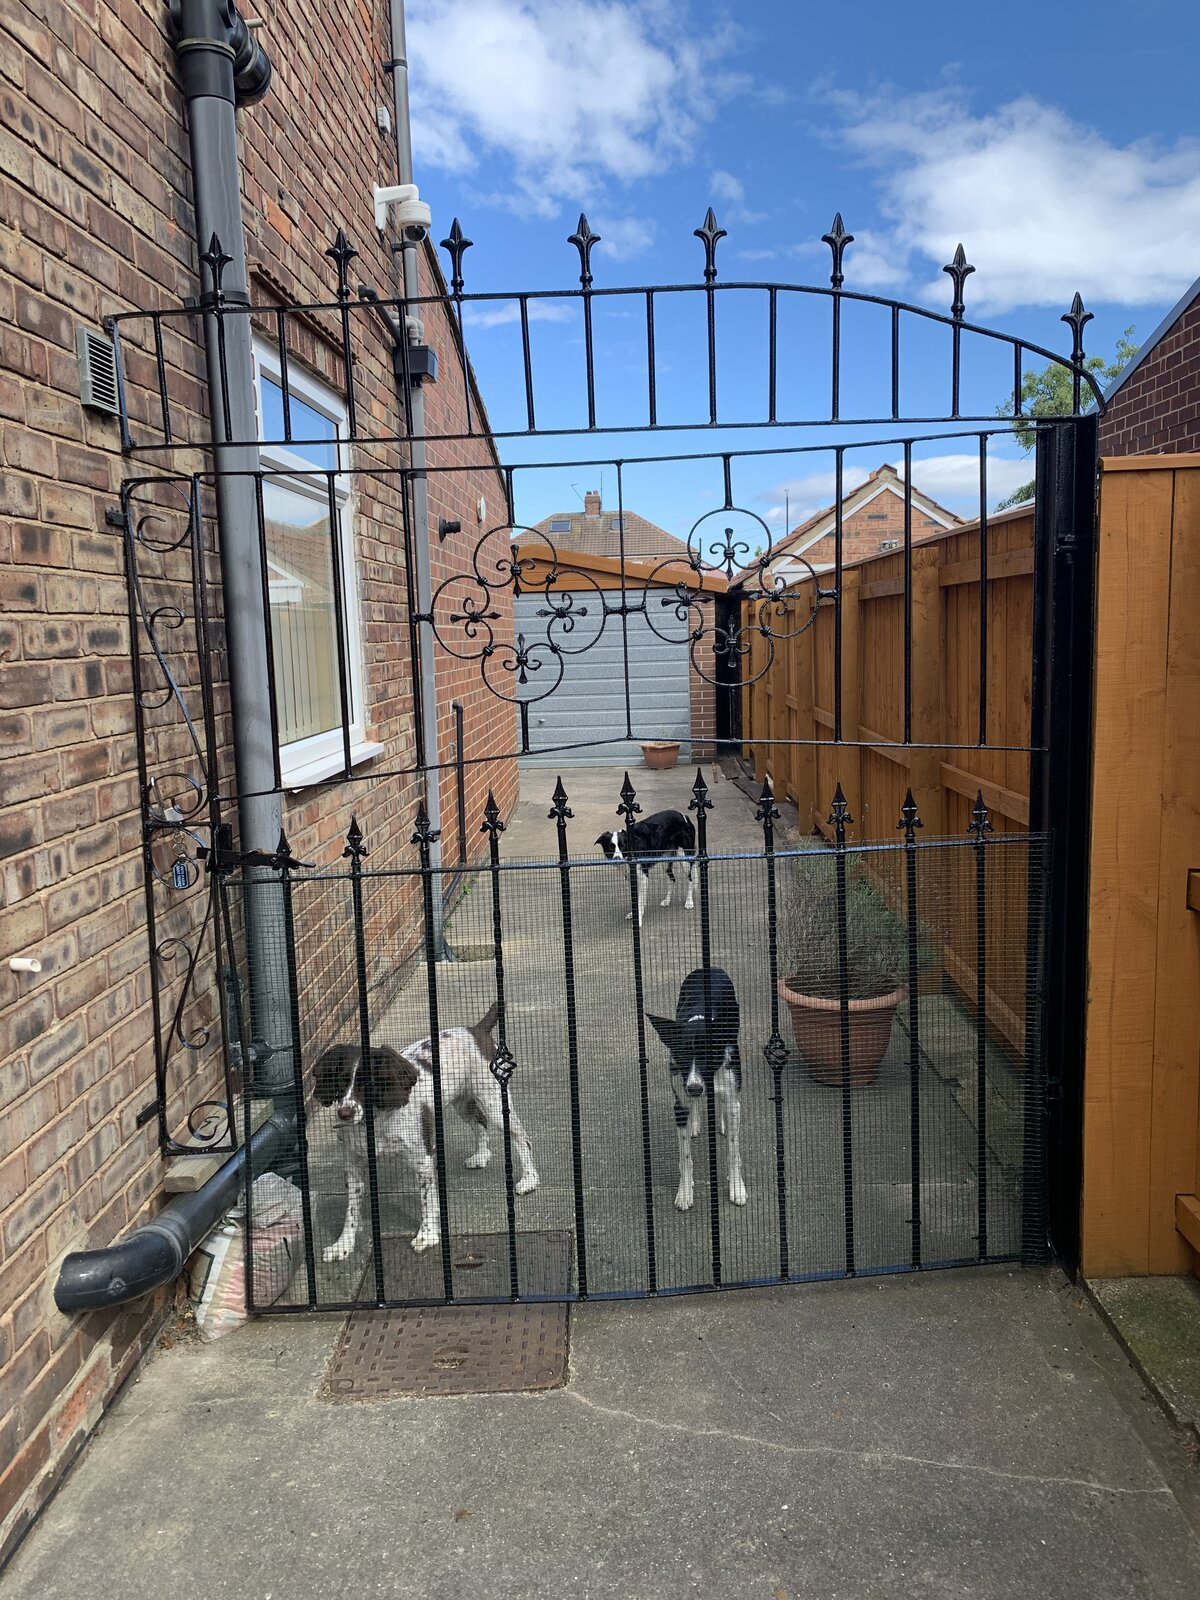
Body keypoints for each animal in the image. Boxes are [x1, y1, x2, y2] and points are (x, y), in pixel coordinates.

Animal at [313, 1002, 539, 1259]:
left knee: (521, 1138)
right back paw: (481, 1156)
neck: (376, 1120)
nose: (345, 1114)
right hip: (462, 1101)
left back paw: (529, 1180)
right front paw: (343, 1245)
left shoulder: (423, 1160)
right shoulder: (353, 1165)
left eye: (369, 1083)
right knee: (479, 1123)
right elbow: (350, 1210)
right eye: (339, 1082)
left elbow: (426, 1200)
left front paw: (427, 1235)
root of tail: (475, 1029)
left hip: (493, 1101)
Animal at [647, 967, 746, 1212]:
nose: (694, 1088)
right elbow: (685, 1157)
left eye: (707, 1056)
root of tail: (709, 968)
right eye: (682, 1057)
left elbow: (733, 1151)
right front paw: (685, 1193)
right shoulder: (680, 1102)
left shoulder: (732, 1097)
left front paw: (737, 1188)